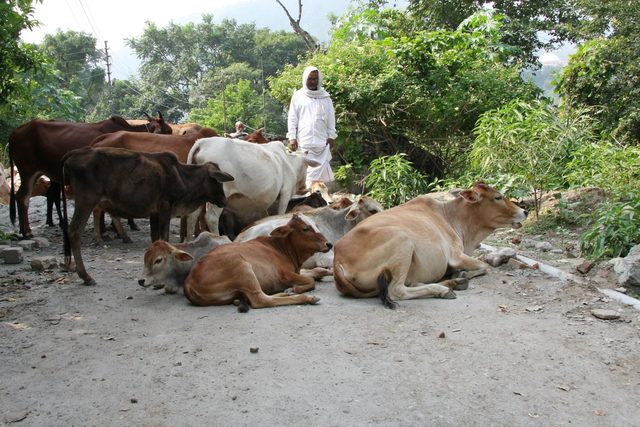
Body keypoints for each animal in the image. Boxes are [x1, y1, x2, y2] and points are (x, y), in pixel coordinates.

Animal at [8, 114, 172, 238]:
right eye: (167, 131)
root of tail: (17, 131)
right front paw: (116, 227)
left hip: (40, 173)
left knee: (41, 196)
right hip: (27, 171)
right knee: (23, 197)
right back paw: (28, 232)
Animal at [61, 147, 234, 286]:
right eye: (218, 181)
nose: (224, 201)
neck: (182, 176)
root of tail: (74, 153)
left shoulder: (154, 213)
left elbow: (155, 239)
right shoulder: (165, 207)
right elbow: (164, 237)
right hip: (86, 201)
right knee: (74, 231)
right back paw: (86, 276)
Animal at [183, 215, 332, 311]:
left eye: (316, 226)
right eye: (305, 229)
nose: (329, 244)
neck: (283, 247)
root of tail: (189, 282)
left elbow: (317, 271)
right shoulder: (284, 274)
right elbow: (310, 281)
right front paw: (295, 288)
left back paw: (284, 293)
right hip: (243, 268)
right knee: (260, 300)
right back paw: (306, 297)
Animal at [185, 137, 318, 240]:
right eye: (307, 166)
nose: (304, 186)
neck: (289, 162)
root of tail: (202, 143)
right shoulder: (285, 193)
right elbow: (281, 214)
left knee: (192, 217)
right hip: (220, 195)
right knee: (211, 218)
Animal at [332, 182, 528, 308]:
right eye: (498, 197)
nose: (525, 211)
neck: (451, 216)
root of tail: (337, 260)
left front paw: (458, 276)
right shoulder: (456, 255)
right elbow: (485, 266)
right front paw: (462, 274)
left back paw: (452, 282)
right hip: (403, 240)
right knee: (397, 290)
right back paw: (443, 288)